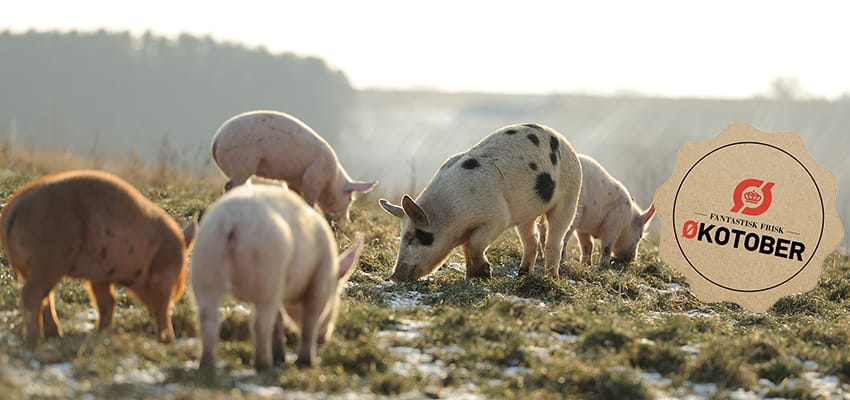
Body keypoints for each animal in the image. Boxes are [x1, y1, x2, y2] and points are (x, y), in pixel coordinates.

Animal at [0, 169, 195, 344]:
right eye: (181, 272)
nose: (181, 289)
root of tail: (13, 208)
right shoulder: (161, 277)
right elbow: (161, 305)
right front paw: (168, 339)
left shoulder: (100, 276)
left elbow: (107, 301)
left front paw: (102, 333)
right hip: (49, 258)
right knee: (31, 294)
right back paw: (35, 340)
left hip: (35, 267)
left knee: (45, 296)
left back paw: (56, 335)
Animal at [190, 181, 362, 372]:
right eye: (336, 302)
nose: (324, 341)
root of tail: (233, 220)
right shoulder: (320, 281)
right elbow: (310, 320)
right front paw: (306, 362)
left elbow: (279, 320)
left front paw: (282, 357)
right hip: (267, 271)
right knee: (260, 324)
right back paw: (264, 365)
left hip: (205, 263)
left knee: (208, 318)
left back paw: (207, 365)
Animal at [210, 111, 376, 220]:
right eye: (350, 199)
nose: (346, 221)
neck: (332, 181)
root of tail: (217, 139)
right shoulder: (313, 178)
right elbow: (309, 201)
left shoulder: (292, 181)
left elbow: (295, 196)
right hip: (242, 165)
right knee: (230, 186)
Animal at [380, 122, 580, 282]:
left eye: (414, 237)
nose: (394, 277)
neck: (453, 216)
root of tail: (565, 142)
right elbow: (466, 249)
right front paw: (471, 277)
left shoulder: (496, 218)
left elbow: (475, 244)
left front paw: (486, 273)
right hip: (527, 212)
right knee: (532, 240)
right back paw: (522, 275)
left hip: (570, 196)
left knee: (554, 241)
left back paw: (551, 278)